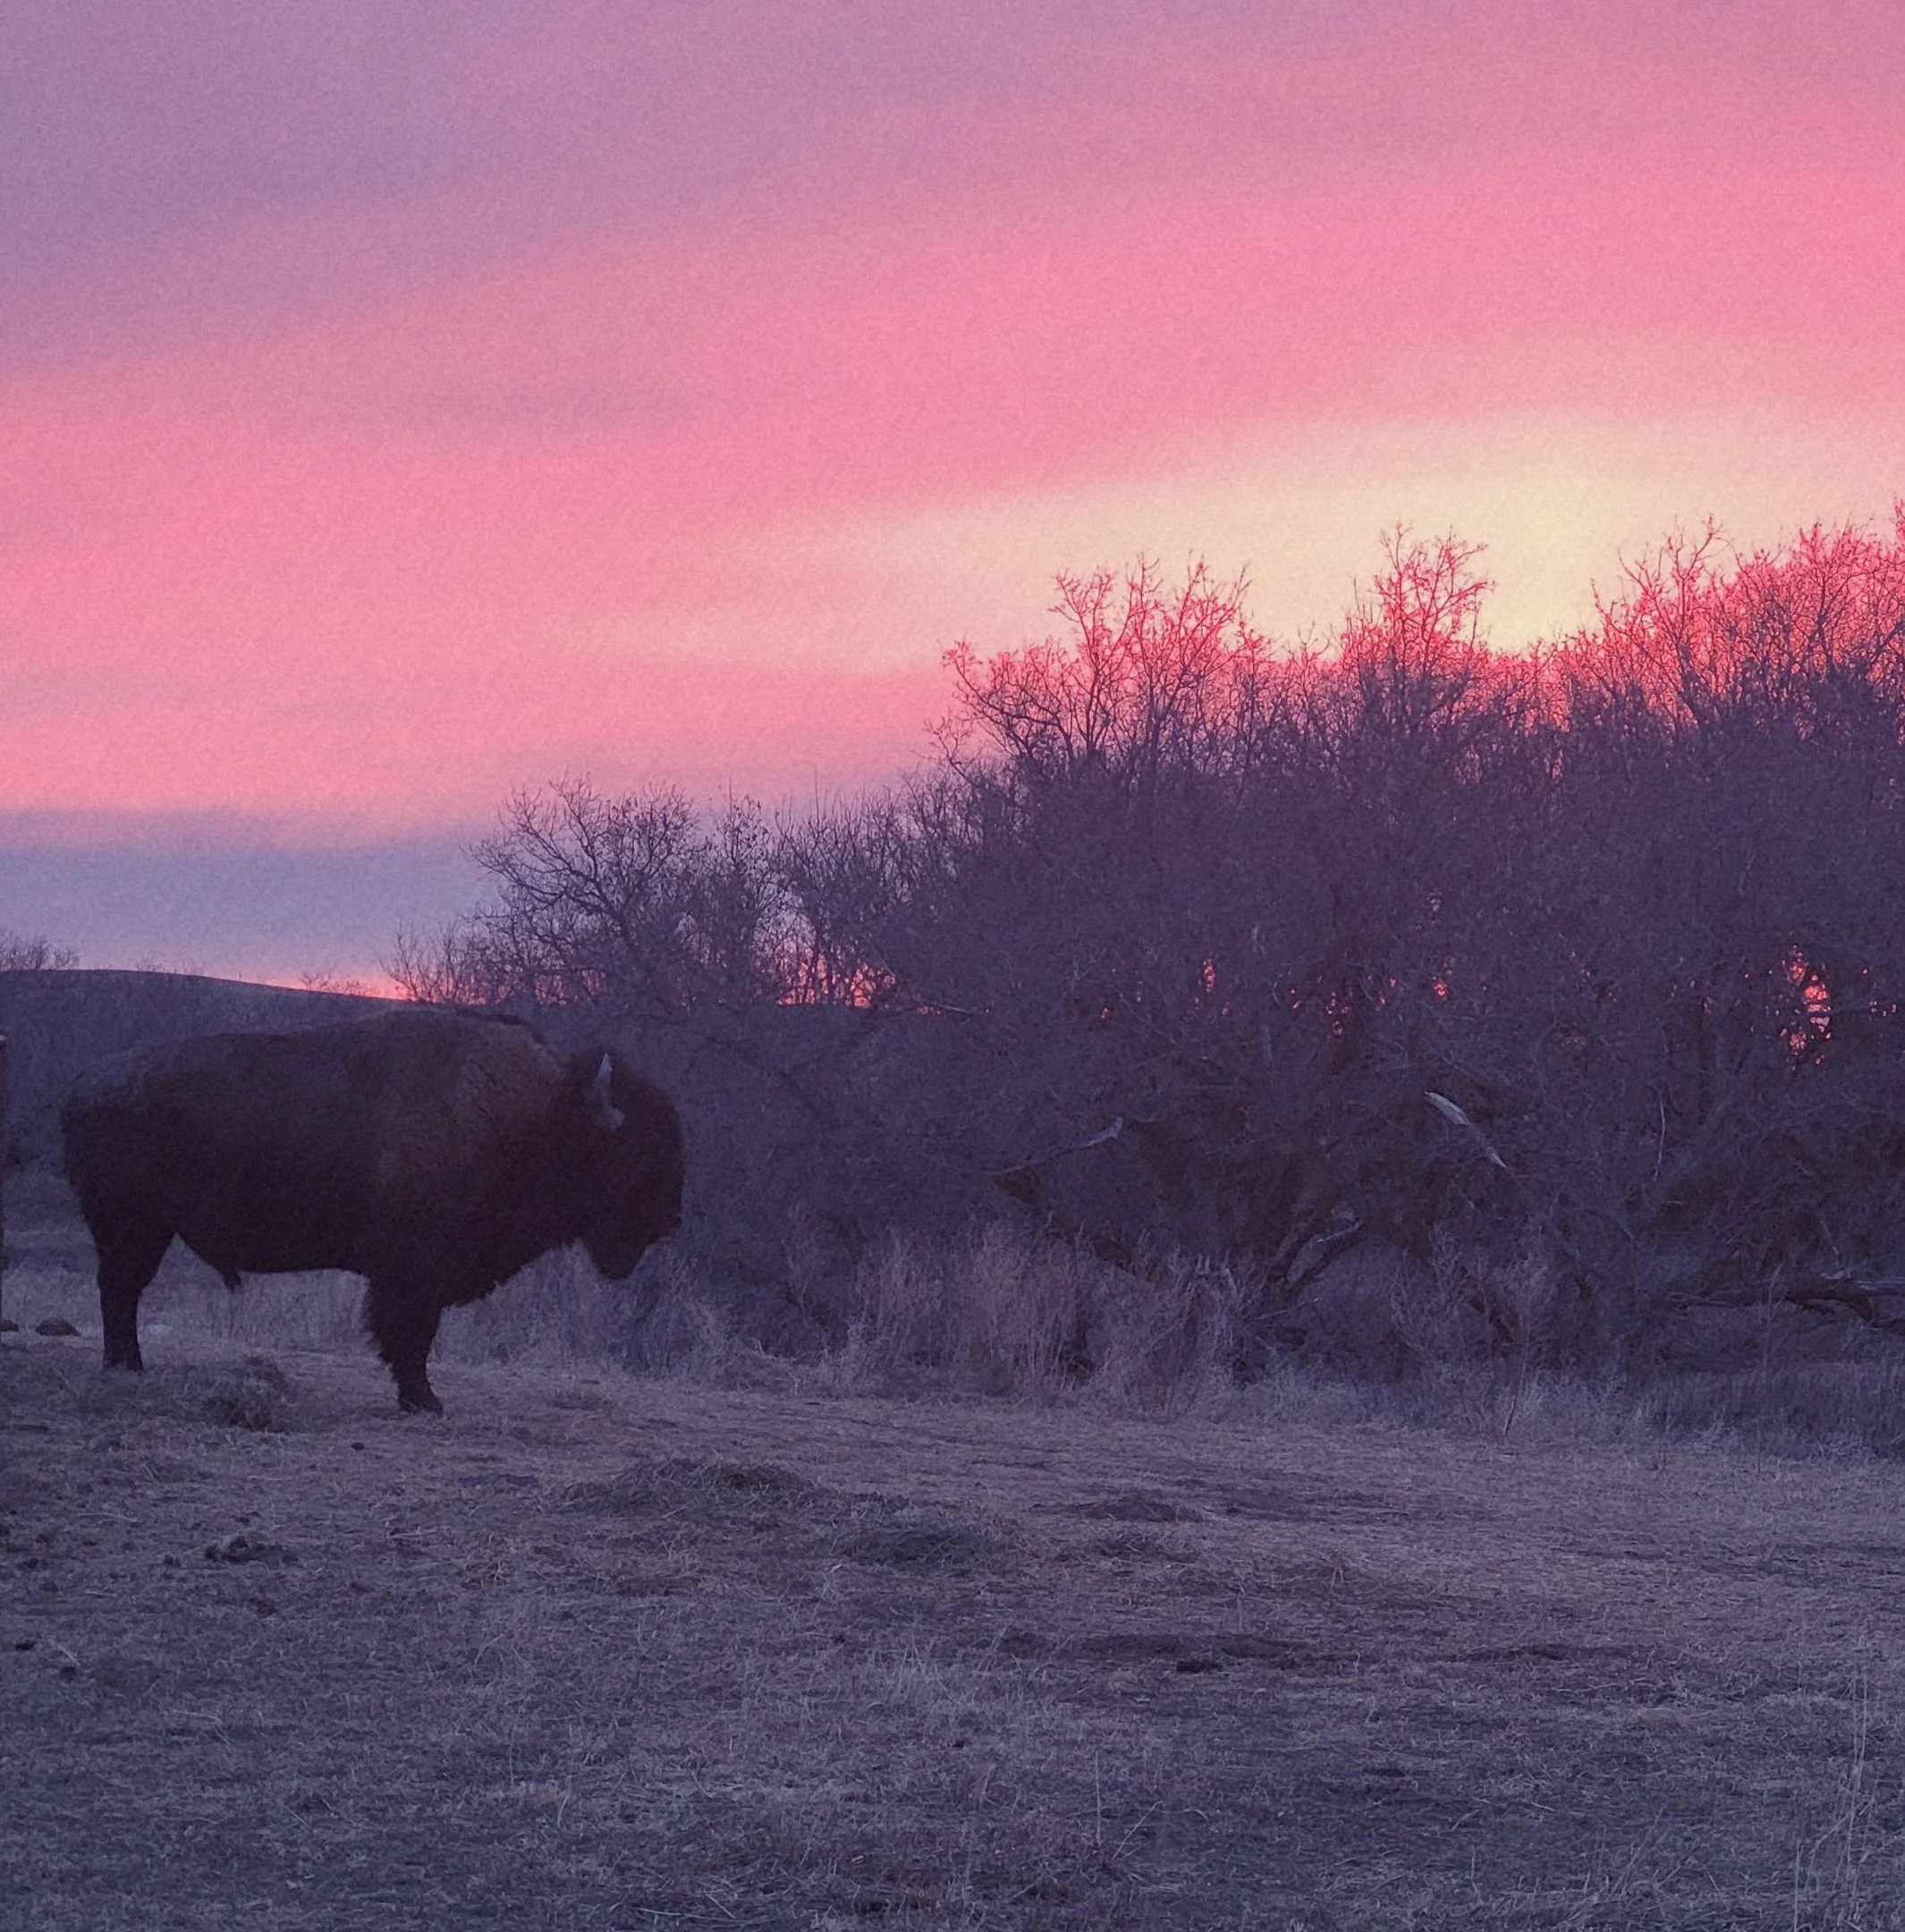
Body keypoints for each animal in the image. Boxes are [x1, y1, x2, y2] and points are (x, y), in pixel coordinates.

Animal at [61, 1007, 684, 1414]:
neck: (535, 1117)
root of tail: (85, 1084)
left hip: (142, 1230)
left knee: (120, 1289)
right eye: (631, 1151)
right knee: (119, 1289)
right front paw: (424, 1400)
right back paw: (126, 1365)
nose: (669, 1220)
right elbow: (409, 1334)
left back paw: (128, 1365)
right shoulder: (411, 1274)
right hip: (132, 1227)